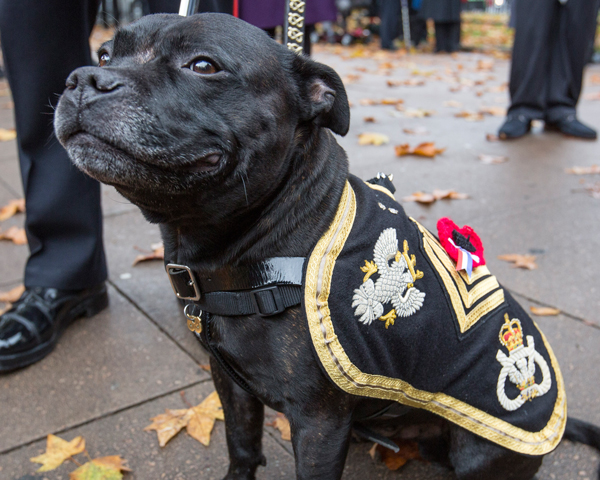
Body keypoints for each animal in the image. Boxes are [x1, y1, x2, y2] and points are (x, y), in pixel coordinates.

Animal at [54, 13, 596, 478]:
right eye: (104, 54)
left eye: (203, 65)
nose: (84, 78)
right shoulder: (231, 385)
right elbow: (241, 444)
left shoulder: (318, 422)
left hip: (480, 447)